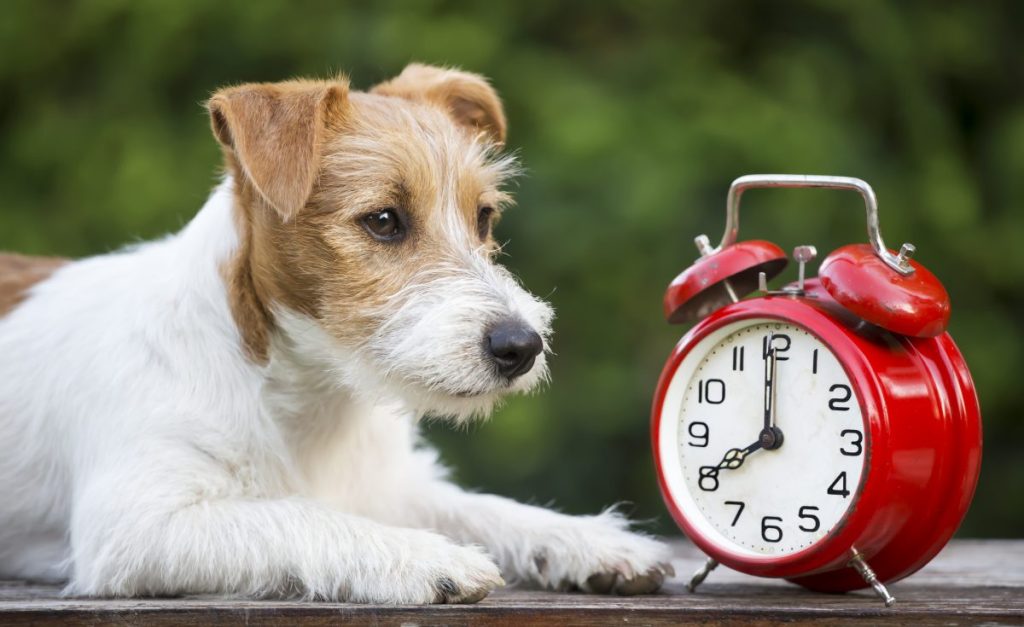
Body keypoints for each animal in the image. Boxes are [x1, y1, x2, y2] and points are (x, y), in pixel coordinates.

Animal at [0, 63, 675, 602]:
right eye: (383, 220)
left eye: (483, 218)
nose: (521, 346)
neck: (303, 393)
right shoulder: (136, 523)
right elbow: (298, 518)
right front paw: (426, 556)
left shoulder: (389, 485)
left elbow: (486, 509)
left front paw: (587, 540)